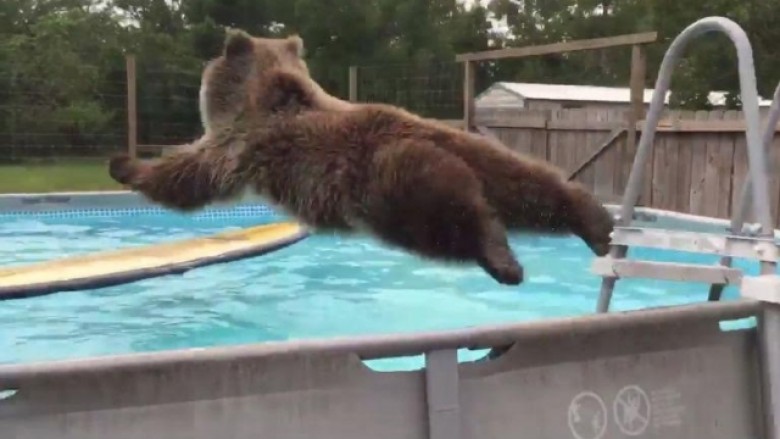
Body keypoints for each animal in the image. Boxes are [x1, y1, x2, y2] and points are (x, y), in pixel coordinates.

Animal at [108, 30, 616, 286]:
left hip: (392, 188)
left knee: (454, 221)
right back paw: (596, 223)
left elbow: (189, 176)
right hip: (483, 154)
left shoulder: (240, 144)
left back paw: (502, 262)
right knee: (534, 188)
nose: (207, 62)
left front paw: (125, 165)